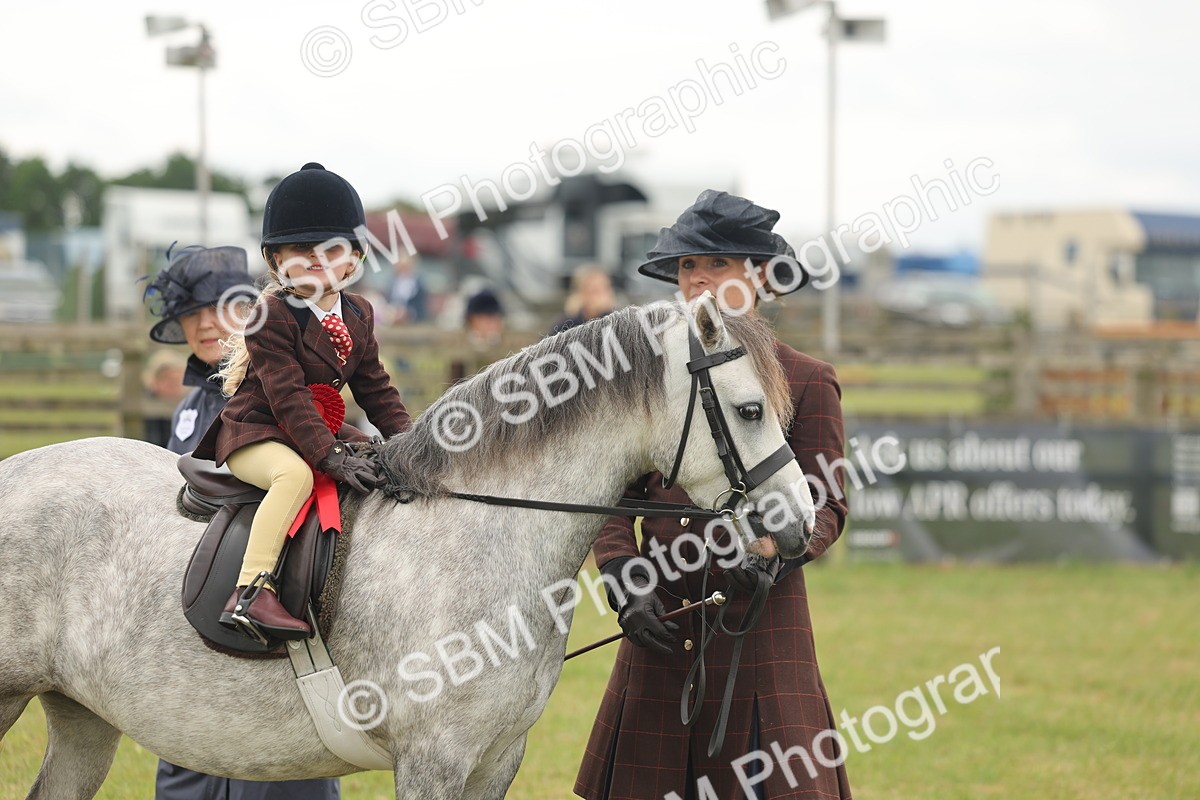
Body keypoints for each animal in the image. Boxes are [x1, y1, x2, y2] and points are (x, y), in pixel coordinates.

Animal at [0, 297, 816, 800]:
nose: (800, 524)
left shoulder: (495, 761)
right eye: (749, 410)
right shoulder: (434, 762)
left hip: (81, 715)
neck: (482, 533)